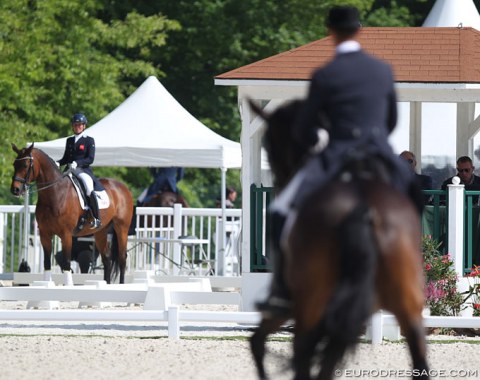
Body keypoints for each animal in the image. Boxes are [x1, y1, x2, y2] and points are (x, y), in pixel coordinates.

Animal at [11, 143, 135, 284]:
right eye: (14, 164)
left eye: (25, 165)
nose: (15, 190)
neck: (56, 194)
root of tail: (123, 187)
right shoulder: (44, 234)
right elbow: (47, 262)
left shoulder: (66, 234)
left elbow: (66, 263)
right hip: (100, 232)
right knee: (107, 258)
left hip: (122, 228)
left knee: (122, 258)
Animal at [249, 101, 430, 380]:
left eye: (270, 145)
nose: (279, 185)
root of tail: (363, 205)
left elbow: (257, 342)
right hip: (405, 303)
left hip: (311, 305)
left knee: (301, 352)